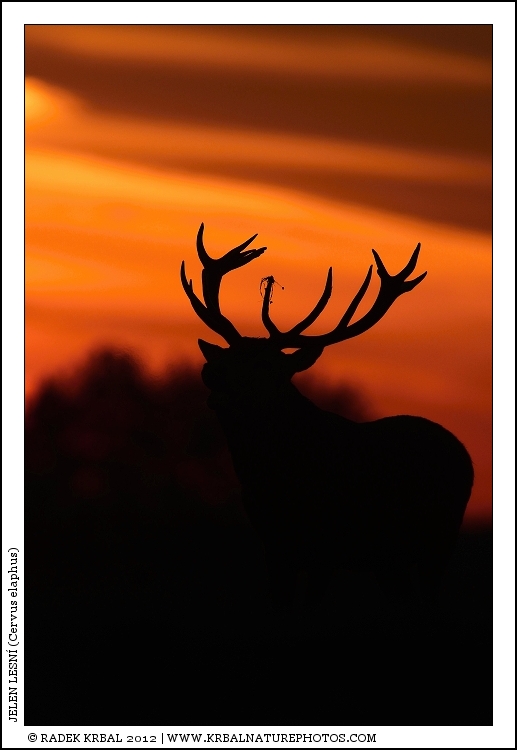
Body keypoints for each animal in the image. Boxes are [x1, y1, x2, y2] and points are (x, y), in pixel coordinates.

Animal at [180, 224, 474, 608]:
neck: (275, 482)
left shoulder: (326, 549)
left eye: (268, 367)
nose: (210, 374)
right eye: (227, 357)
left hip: (439, 543)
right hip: (389, 560)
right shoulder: (274, 547)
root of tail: (464, 455)